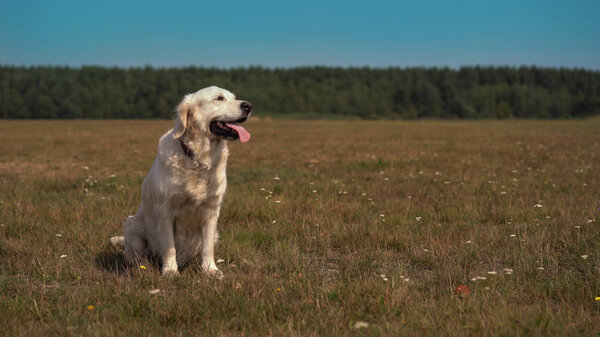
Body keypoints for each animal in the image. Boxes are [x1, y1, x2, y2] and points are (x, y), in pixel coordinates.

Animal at [111, 84, 252, 276]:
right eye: (219, 98)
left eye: (234, 97)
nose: (248, 106)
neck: (198, 160)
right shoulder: (165, 210)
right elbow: (169, 246)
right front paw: (170, 271)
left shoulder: (212, 210)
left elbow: (207, 247)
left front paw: (210, 270)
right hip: (132, 226)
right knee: (136, 256)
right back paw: (144, 266)